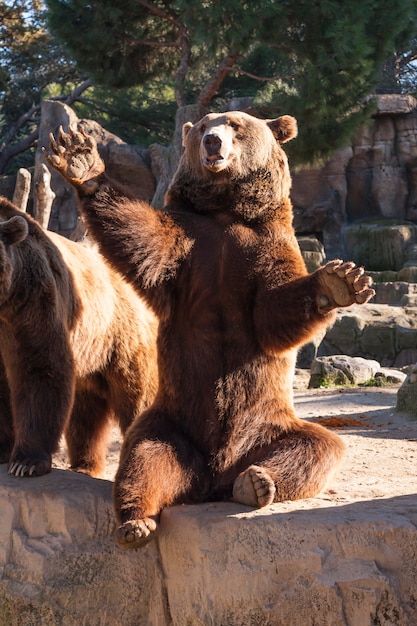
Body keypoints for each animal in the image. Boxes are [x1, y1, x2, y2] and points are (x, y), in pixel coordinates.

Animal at [0, 197, 158, 476]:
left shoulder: (30, 305)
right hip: (90, 362)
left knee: (138, 398)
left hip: (123, 338)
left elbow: (40, 369)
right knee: (86, 415)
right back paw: (85, 466)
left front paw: (26, 462)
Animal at [45, 112, 374, 544]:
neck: (225, 212)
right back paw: (137, 521)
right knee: (146, 456)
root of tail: (213, 478)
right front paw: (81, 159)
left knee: (317, 447)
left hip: (266, 425)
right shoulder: (188, 244)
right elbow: (140, 238)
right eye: (203, 126)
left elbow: (272, 314)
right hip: (174, 421)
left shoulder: (266, 243)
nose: (213, 142)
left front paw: (341, 280)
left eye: (235, 124)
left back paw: (257, 483)